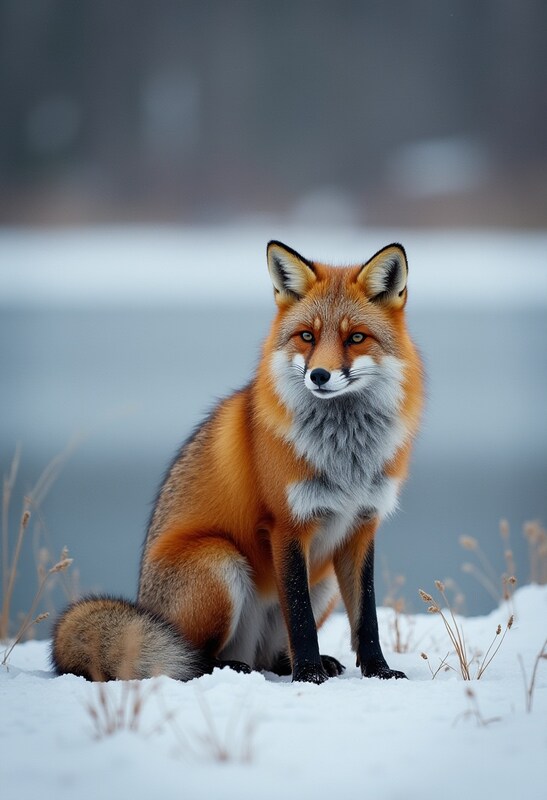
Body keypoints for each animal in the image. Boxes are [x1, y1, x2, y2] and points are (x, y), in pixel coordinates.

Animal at [52, 240, 423, 684]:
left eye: (356, 338)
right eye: (307, 336)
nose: (319, 375)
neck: (344, 457)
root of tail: (144, 603)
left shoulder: (362, 527)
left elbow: (366, 619)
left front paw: (378, 671)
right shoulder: (285, 526)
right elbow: (300, 617)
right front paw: (309, 676)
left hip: (324, 583)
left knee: (271, 655)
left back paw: (296, 663)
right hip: (220, 563)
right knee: (191, 658)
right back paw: (234, 666)